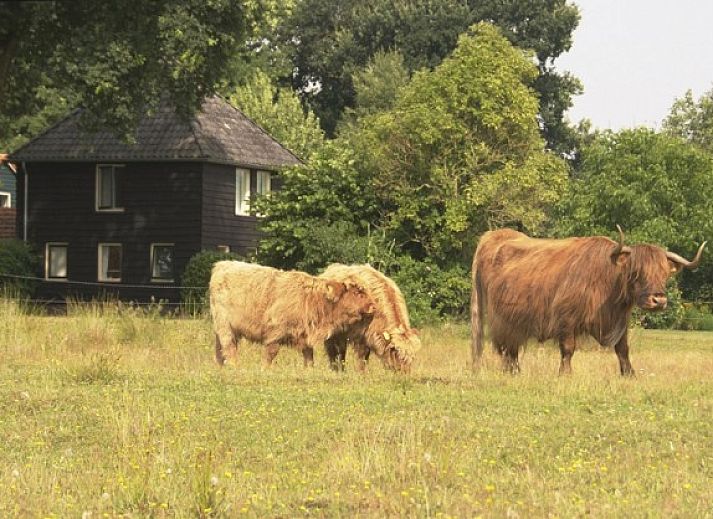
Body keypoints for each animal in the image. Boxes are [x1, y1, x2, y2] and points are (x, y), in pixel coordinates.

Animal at [209, 262, 376, 368]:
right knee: (229, 347)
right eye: (357, 292)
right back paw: (235, 367)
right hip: (225, 327)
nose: (373, 305)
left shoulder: (305, 337)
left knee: (220, 350)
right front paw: (265, 370)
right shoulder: (275, 334)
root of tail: (223, 265)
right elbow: (269, 355)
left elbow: (309, 358)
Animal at [468, 226, 708, 374]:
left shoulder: (620, 322)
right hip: (502, 319)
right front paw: (565, 374)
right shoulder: (566, 319)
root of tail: (495, 235)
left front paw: (629, 374)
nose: (658, 300)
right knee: (506, 348)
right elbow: (568, 349)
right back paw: (512, 372)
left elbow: (623, 349)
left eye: (664, 274)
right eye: (636, 272)